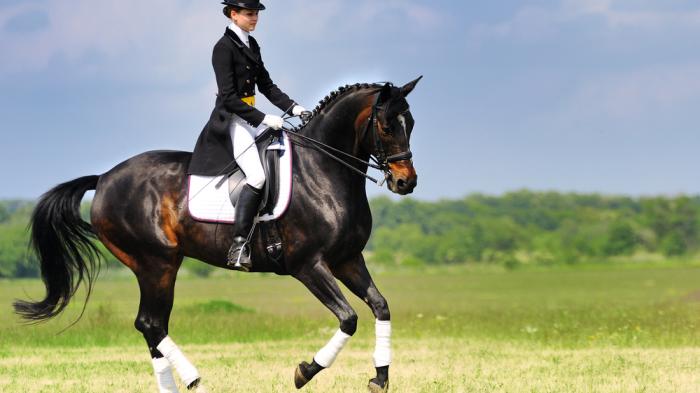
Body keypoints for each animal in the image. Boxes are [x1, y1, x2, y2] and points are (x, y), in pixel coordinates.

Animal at [15, 77, 422, 392]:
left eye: (412, 123)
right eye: (387, 126)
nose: (406, 182)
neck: (324, 172)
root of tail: (103, 179)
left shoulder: (347, 260)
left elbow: (380, 306)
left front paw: (380, 378)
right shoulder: (308, 265)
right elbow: (348, 318)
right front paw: (305, 371)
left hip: (159, 266)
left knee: (152, 327)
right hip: (156, 263)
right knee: (150, 324)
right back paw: (196, 380)